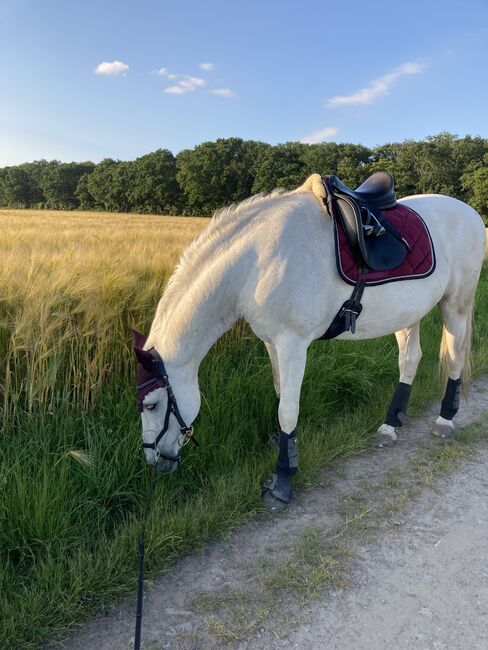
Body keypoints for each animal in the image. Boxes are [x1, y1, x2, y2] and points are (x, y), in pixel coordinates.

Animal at [133, 175, 488, 508]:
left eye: (151, 404)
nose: (155, 462)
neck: (256, 262)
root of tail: (470, 213)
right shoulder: (272, 342)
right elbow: (280, 395)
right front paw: (282, 447)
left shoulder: (293, 343)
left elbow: (288, 410)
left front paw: (283, 479)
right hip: (407, 314)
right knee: (410, 360)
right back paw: (390, 426)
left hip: (455, 305)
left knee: (455, 358)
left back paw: (445, 420)